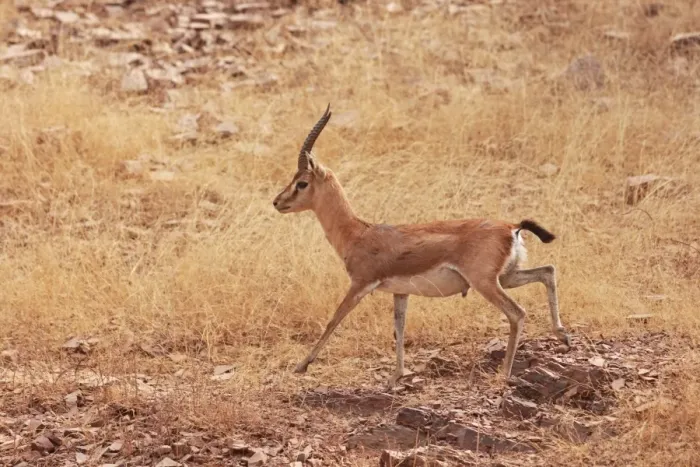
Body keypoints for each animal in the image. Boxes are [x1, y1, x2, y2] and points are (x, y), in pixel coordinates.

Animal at [272, 104, 570, 387]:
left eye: (302, 183)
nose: (277, 202)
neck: (358, 233)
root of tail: (511, 227)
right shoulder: (400, 292)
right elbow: (399, 328)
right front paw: (396, 376)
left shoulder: (360, 284)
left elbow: (333, 320)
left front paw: (301, 365)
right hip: (506, 277)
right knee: (548, 270)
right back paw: (562, 335)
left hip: (485, 283)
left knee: (517, 313)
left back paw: (504, 374)